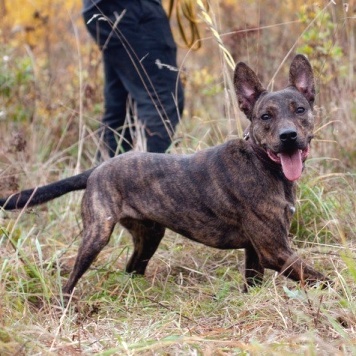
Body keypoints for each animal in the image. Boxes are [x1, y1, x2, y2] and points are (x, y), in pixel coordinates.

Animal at [0, 55, 328, 294]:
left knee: (132, 268)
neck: (262, 164)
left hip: (150, 234)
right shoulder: (275, 250)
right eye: (265, 116)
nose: (288, 136)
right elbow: (323, 279)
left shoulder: (256, 251)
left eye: (300, 109)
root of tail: (99, 168)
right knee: (71, 280)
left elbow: (254, 284)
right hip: (97, 234)